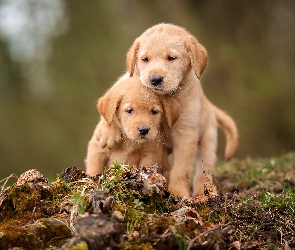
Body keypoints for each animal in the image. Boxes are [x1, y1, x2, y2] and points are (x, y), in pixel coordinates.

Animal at [96, 23, 239, 199]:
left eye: (171, 58)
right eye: (145, 59)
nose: (155, 79)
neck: (168, 96)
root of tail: (211, 107)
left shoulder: (186, 135)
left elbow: (181, 169)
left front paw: (178, 193)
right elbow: (112, 100)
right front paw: (107, 132)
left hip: (207, 142)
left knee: (203, 172)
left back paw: (203, 194)